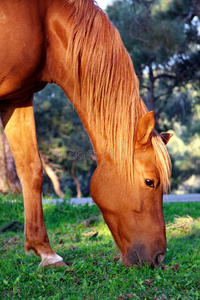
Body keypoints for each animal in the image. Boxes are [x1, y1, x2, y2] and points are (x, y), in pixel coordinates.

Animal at [0, 0, 172, 268]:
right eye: (149, 182)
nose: (159, 258)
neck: (43, 19)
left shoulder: (18, 98)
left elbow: (31, 170)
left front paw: (46, 253)